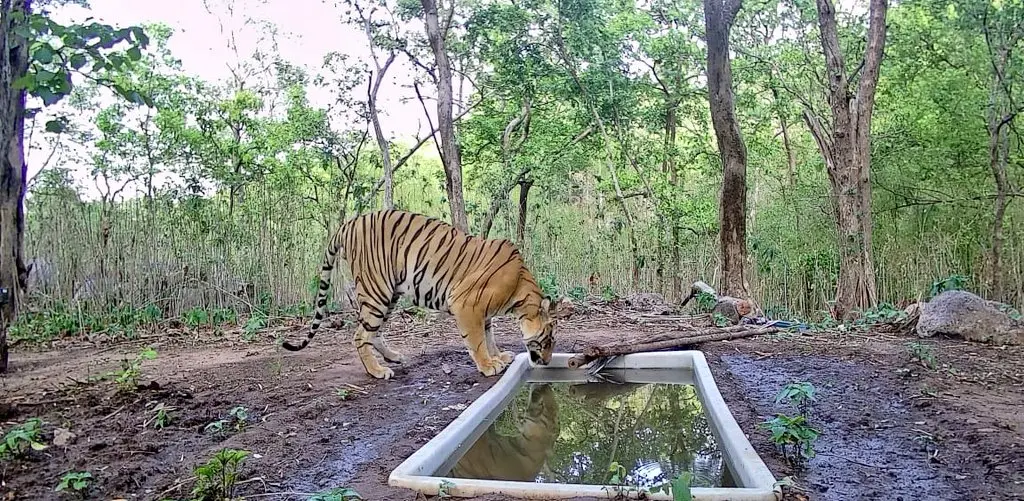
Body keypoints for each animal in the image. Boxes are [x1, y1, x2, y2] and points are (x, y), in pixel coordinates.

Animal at [281, 209, 570, 380]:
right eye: (548, 340)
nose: (547, 362)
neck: (520, 289)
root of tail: (349, 223)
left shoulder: (484, 311)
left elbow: (489, 336)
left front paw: (498, 356)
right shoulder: (467, 304)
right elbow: (477, 340)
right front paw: (489, 365)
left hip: (388, 295)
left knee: (373, 331)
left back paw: (393, 356)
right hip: (377, 290)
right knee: (360, 335)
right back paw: (377, 371)